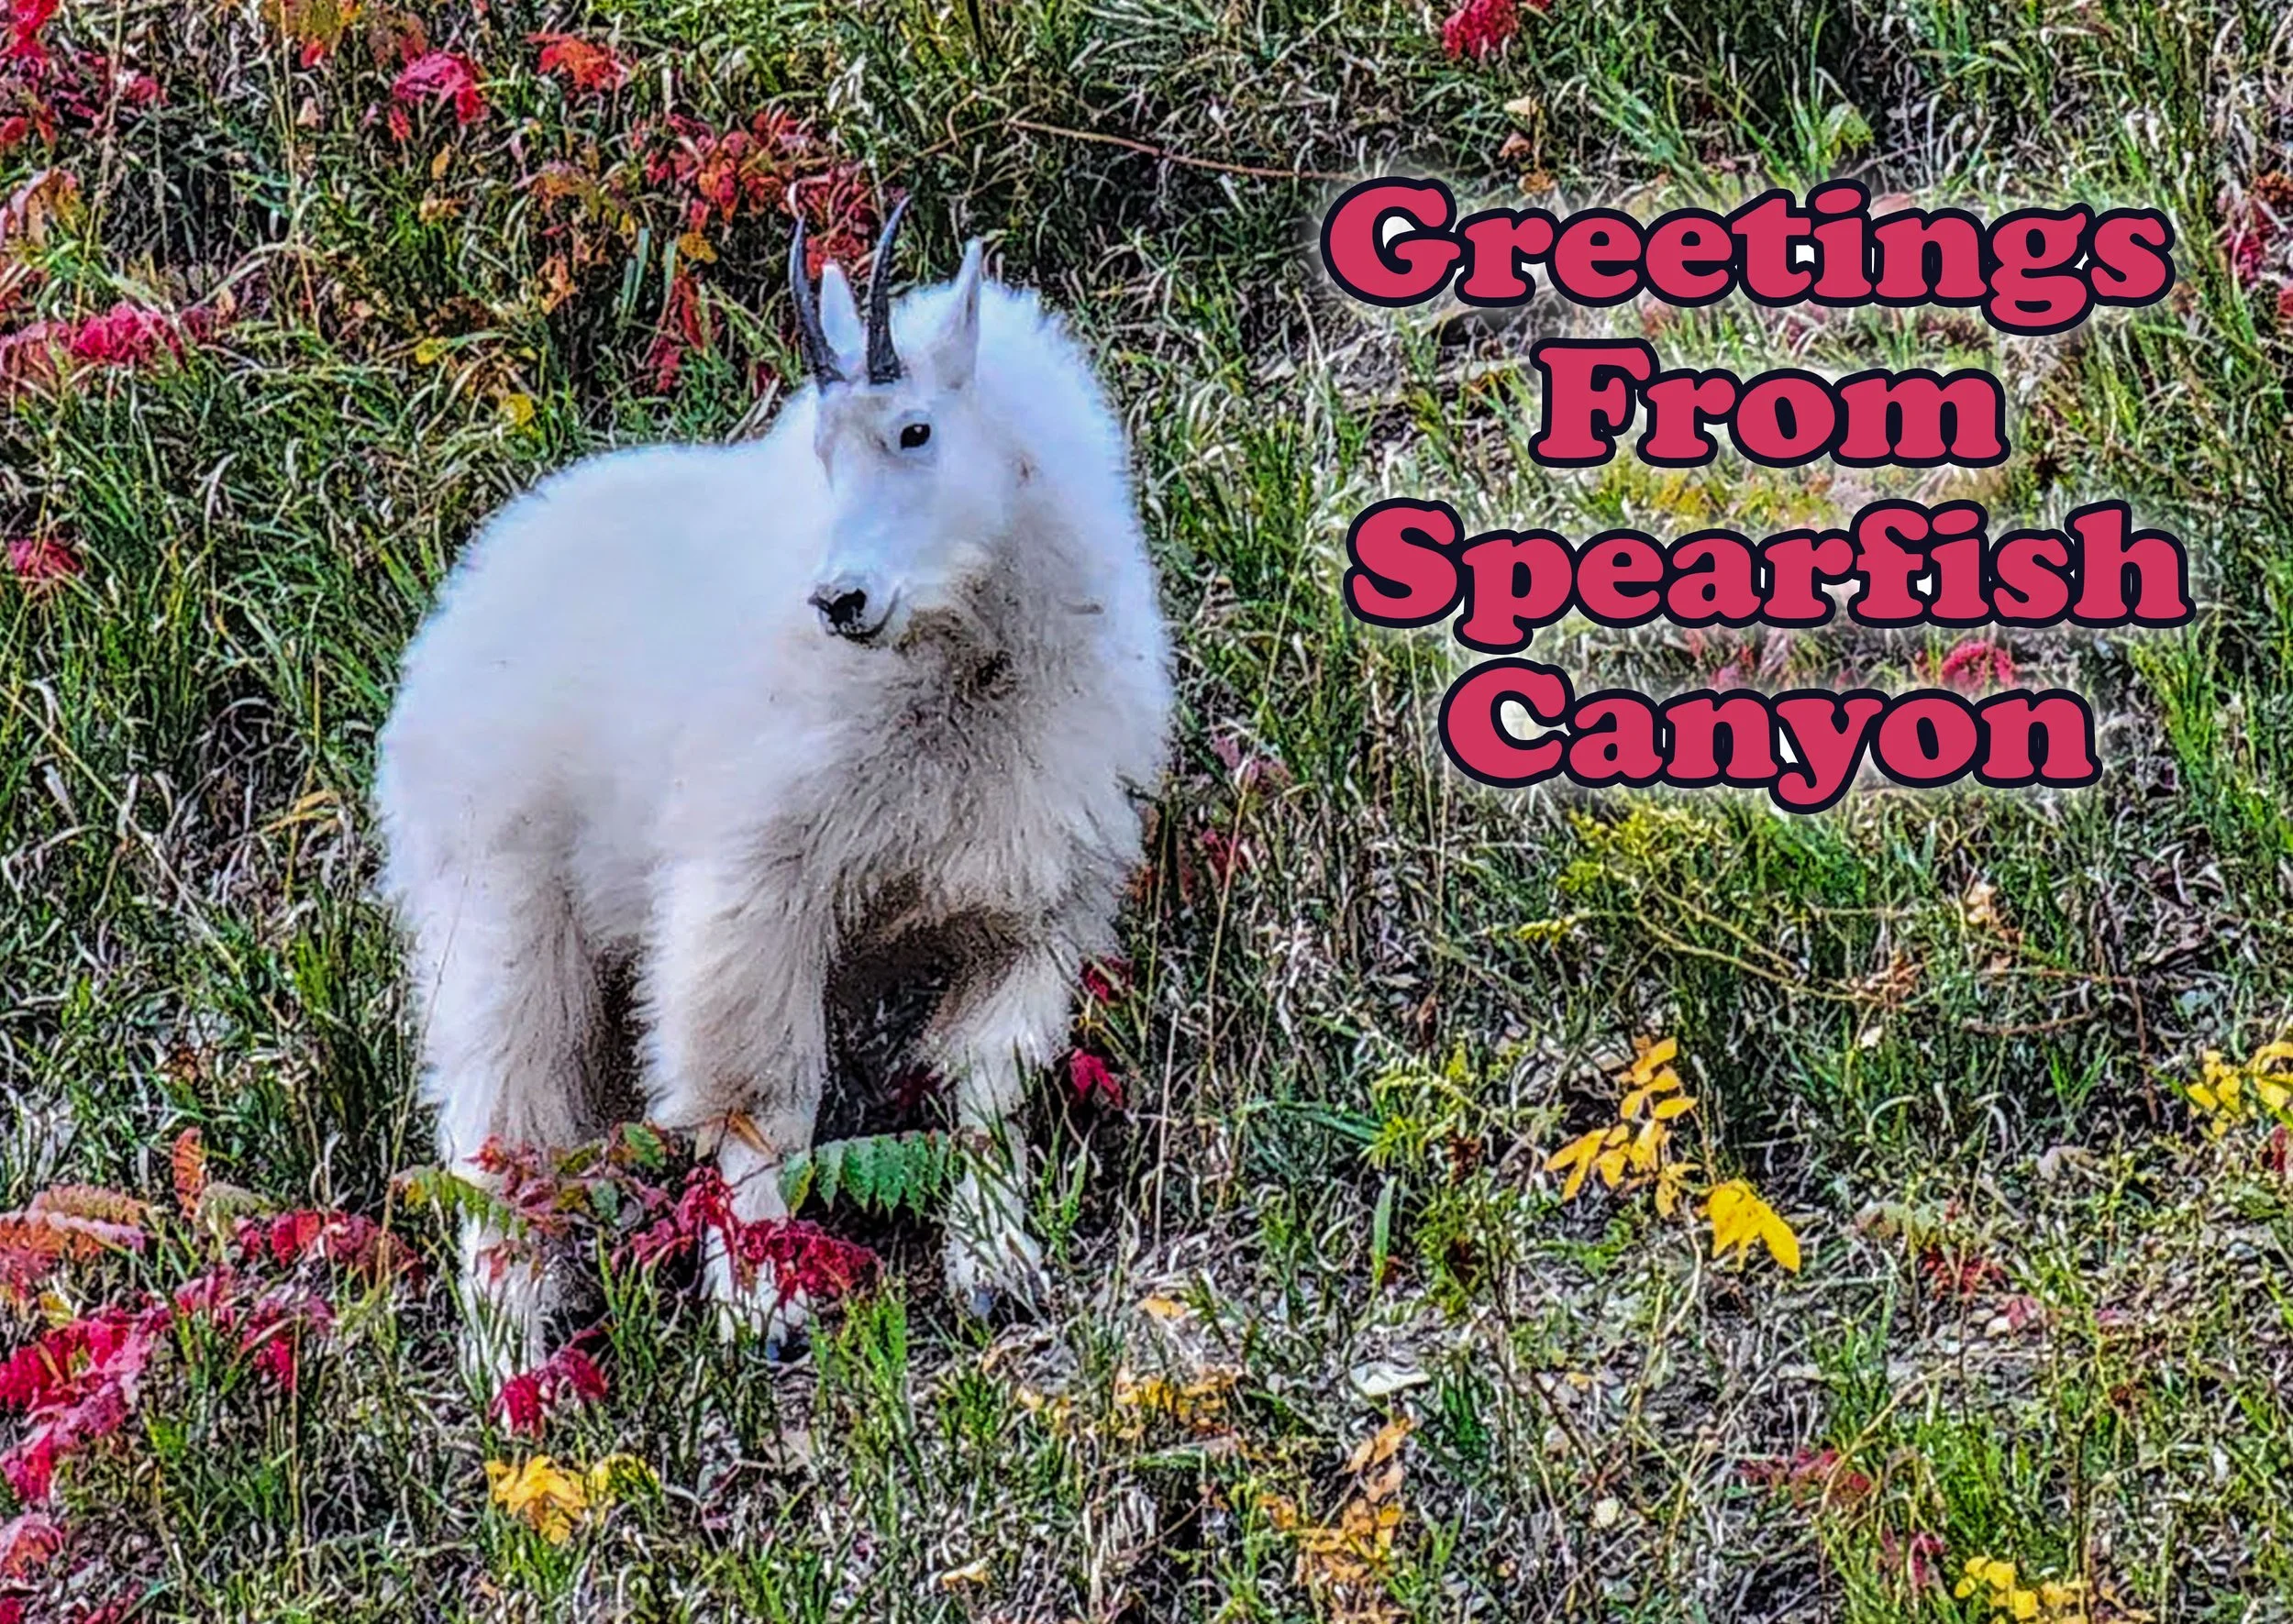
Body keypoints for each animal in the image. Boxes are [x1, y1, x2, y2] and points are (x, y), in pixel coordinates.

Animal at [372, 202, 1173, 1382]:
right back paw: (507, 1353)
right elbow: (757, 1102)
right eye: (824, 450)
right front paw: (760, 1310)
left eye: (915, 431)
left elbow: (988, 1082)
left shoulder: (1031, 897)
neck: (963, 673)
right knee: (503, 1114)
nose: (841, 598)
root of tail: (455, 613)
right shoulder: (756, 882)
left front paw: (995, 1267)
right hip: (496, 894)